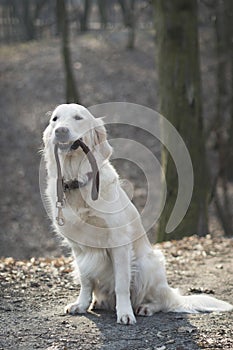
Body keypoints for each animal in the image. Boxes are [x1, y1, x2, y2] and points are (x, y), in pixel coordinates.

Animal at [42, 104, 233, 326]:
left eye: (78, 118)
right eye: (55, 119)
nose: (60, 131)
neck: (77, 181)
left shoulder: (119, 243)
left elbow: (122, 284)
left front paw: (125, 313)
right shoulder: (79, 247)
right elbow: (86, 279)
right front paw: (81, 304)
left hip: (148, 264)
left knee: (162, 301)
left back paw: (146, 307)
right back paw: (99, 302)